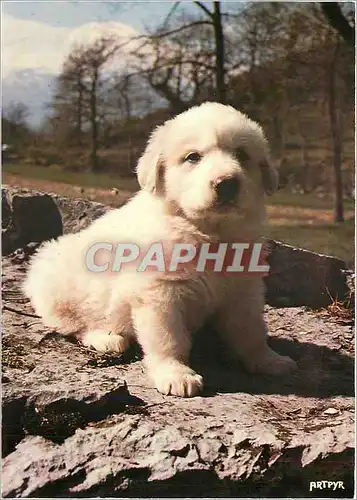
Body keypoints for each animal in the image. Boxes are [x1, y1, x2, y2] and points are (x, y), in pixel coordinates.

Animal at [23, 103, 296, 396]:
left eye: (242, 155)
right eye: (193, 157)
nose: (227, 183)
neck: (209, 231)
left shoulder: (243, 289)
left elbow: (251, 331)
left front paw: (268, 360)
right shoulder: (160, 293)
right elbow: (169, 338)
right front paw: (175, 374)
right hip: (61, 284)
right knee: (73, 324)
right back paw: (106, 338)